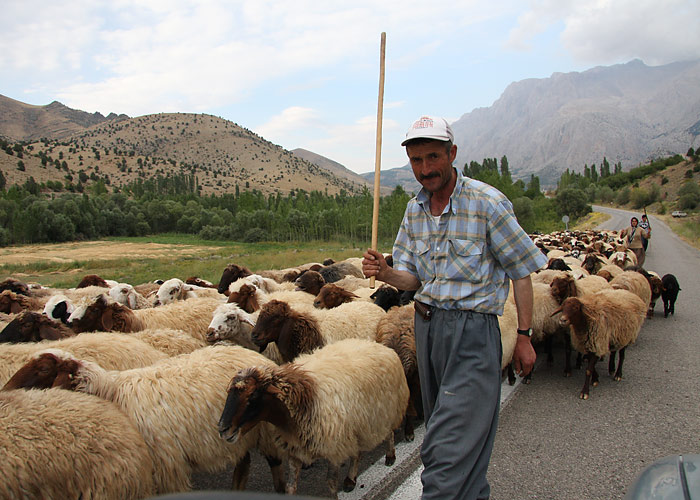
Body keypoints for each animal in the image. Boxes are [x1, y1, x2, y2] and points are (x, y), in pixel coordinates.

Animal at [216, 338, 408, 498]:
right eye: (229, 394)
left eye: (253, 396)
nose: (223, 429)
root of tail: (378, 345)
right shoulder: (294, 447)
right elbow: (291, 487)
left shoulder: (334, 447)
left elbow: (330, 483)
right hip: (358, 424)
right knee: (357, 452)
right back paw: (350, 479)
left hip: (387, 410)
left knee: (389, 432)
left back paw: (390, 456)